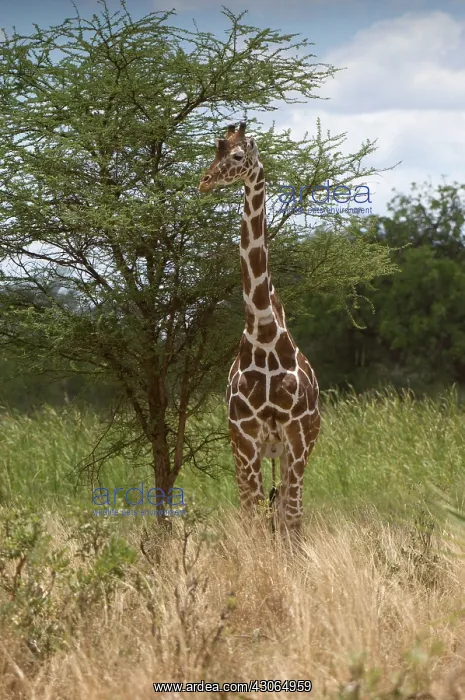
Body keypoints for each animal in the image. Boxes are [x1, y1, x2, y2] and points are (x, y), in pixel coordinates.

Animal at [198, 122, 320, 537]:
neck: (264, 332)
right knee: (257, 507)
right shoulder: (246, 435)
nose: (204, 181)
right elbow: (252, 516)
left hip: (289, 448)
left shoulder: (297, 437)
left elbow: (292, 516)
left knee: (282, 509)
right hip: (245, 448)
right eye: (215, 149)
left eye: (237, 155)